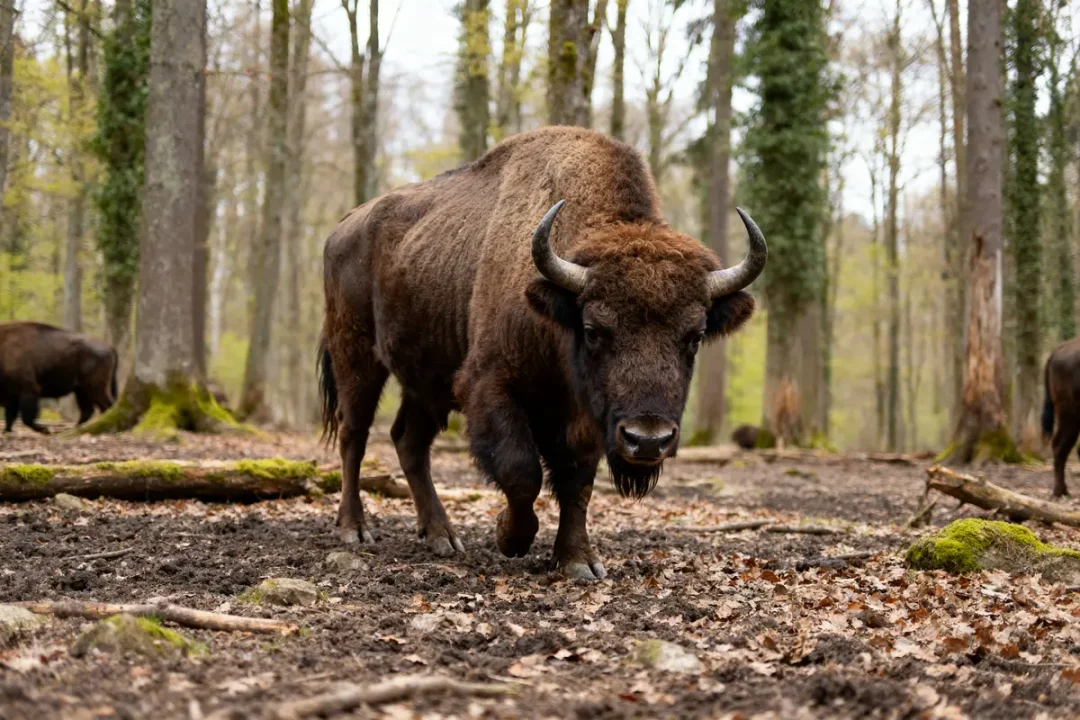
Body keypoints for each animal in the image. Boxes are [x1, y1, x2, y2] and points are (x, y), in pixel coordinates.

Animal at [319, 126, 766, 578]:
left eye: (694, 335)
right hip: (356, 356)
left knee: (408, 440)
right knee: (354, 434)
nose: (648, 439)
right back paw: (354, 528)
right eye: (593, 330)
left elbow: (577, 482)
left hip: (426, 381)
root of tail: (342, 227)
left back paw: (442, 535)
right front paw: (510, 536)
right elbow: (521, 471)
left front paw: (578, 560)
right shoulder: (488, 387)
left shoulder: (583, 416)